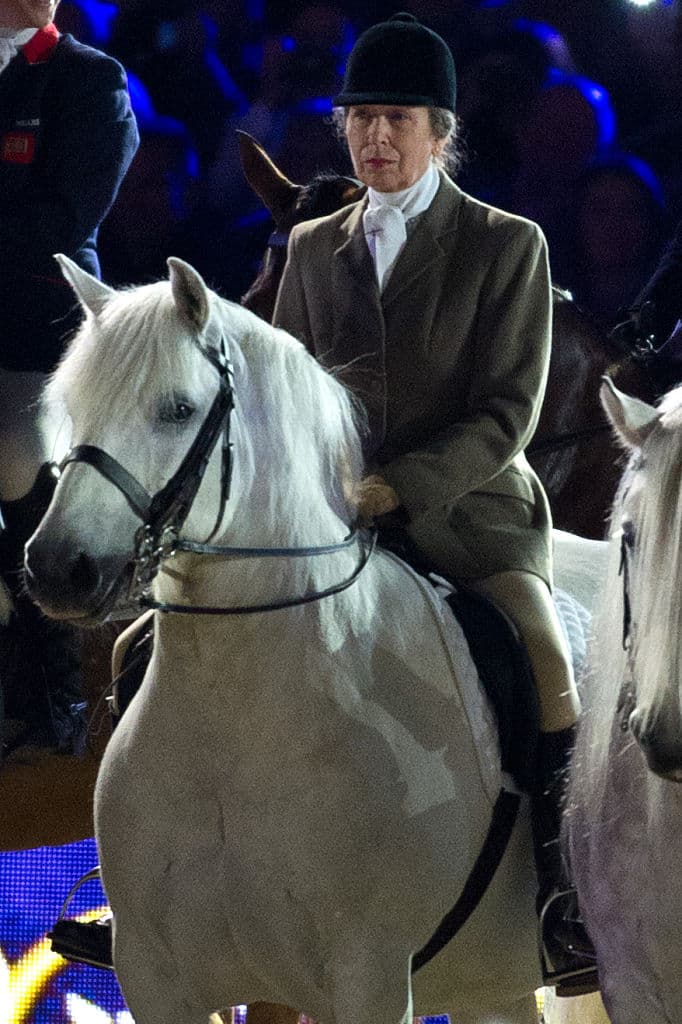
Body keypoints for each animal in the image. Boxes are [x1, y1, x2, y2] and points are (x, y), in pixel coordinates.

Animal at [23, 253, 605, 1024]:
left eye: (177, 410)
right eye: (75, 407)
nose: (58, 568)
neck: (236, 723)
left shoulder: (369, 977)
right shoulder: (155, 976)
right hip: (495, 983)